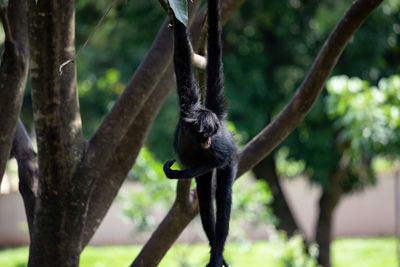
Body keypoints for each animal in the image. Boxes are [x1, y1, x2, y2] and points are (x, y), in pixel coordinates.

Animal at [163, 0, 238, 267]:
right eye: (203, 134)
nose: (207, 141)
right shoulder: (186, 105)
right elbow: (181, 58)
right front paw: (176, 22)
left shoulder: (219, 149)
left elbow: (218, 161)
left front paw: (177, 172)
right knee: (205, 199)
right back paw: (215, 247)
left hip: (231, 154)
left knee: (222, 196)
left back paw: (217, 252)